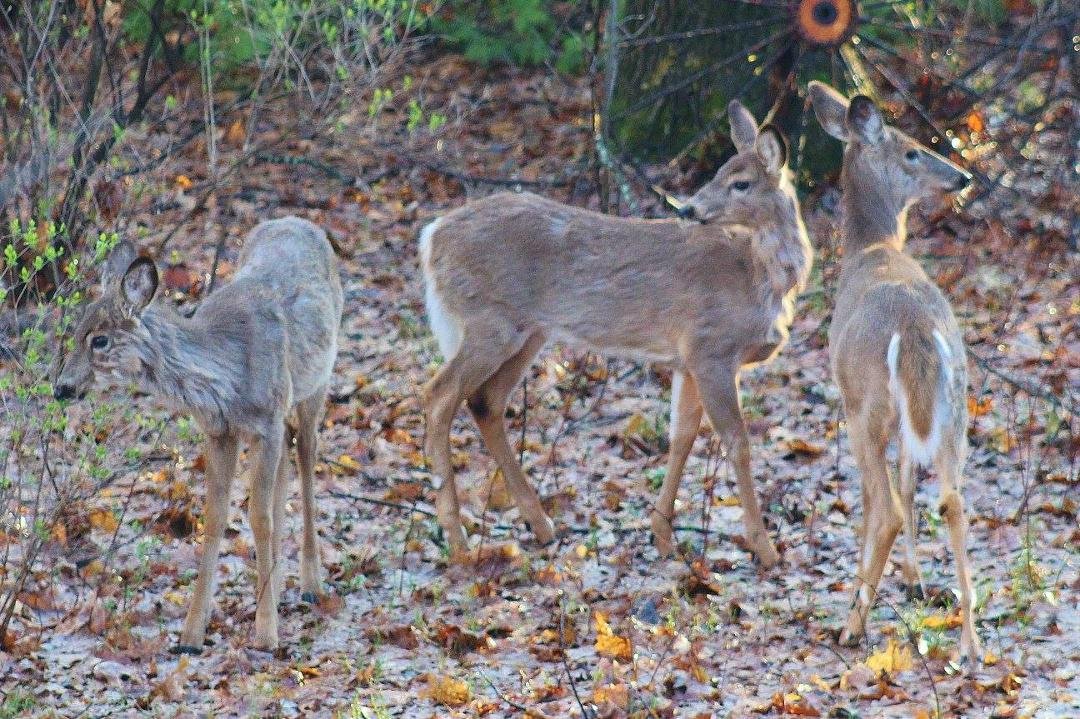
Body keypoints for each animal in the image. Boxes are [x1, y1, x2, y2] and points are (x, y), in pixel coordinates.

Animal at [53, 217, 343, 653]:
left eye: (100, 339)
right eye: (74, 332)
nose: (62, 388)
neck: (227, 374)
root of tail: (300, 222)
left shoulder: (266, 421)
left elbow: (258, 516)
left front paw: (266, 633)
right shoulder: (221, 431)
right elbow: (217, 517)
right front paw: (192, 633)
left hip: (317, 381)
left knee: (307, 455)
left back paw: (311, 583)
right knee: (287, 466)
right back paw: (276, 582)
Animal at [419, 101, 812, 567]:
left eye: (741, 183)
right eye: (723, 174)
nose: (687, 209)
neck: (757, 278)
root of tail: (431, 236)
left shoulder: (687, 360)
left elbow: (681, 437)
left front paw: (661, 536)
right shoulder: (711, 348)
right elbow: (737, 443)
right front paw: (765, 548)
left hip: (528, 331)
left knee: (485, 402)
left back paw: (541, 525)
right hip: (488, 321)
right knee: (439, 394)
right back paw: (459, 540)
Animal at [808, 81, 981, 661]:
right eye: (912, 151)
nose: (962, 176)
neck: (873, 248)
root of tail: (915, 331)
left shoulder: (851, 400)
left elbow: (872, 499)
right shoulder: (913, 420)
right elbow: (909, 481)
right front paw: (915, 578)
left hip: (868, 403)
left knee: (885, 508)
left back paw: (850, 625)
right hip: (953, 407)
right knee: (951, 499)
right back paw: (970, 643)